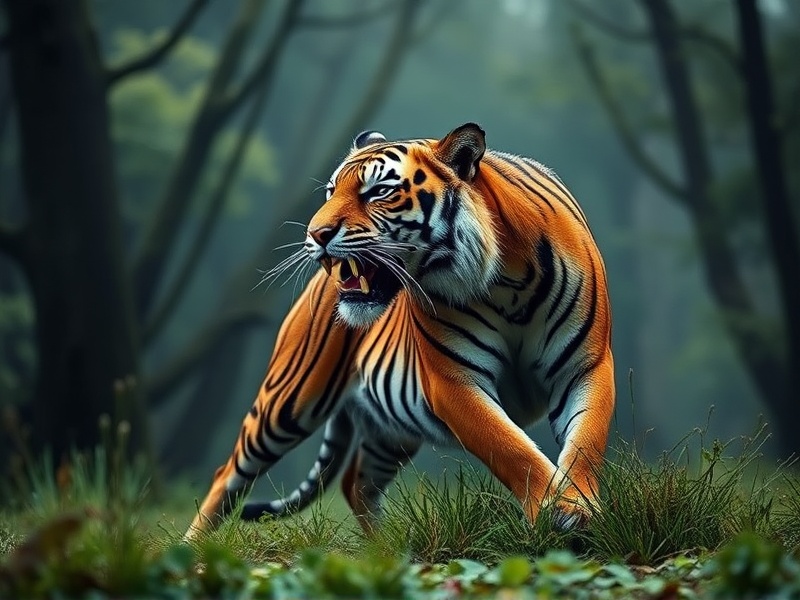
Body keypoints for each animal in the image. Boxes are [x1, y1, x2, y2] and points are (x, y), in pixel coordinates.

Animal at [184, 123, 615, 541]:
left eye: (378, 192)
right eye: (330, 191)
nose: (315, 234)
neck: (505, 278)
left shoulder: (585, 366)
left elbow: (585, 442)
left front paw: (579, 509)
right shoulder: (453, 383)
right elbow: (511, 449)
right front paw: (556, 510)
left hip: (391, 427)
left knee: (356, 483)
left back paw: (387, 549)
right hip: (288, 401)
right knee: (227, 475)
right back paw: (191, 548)